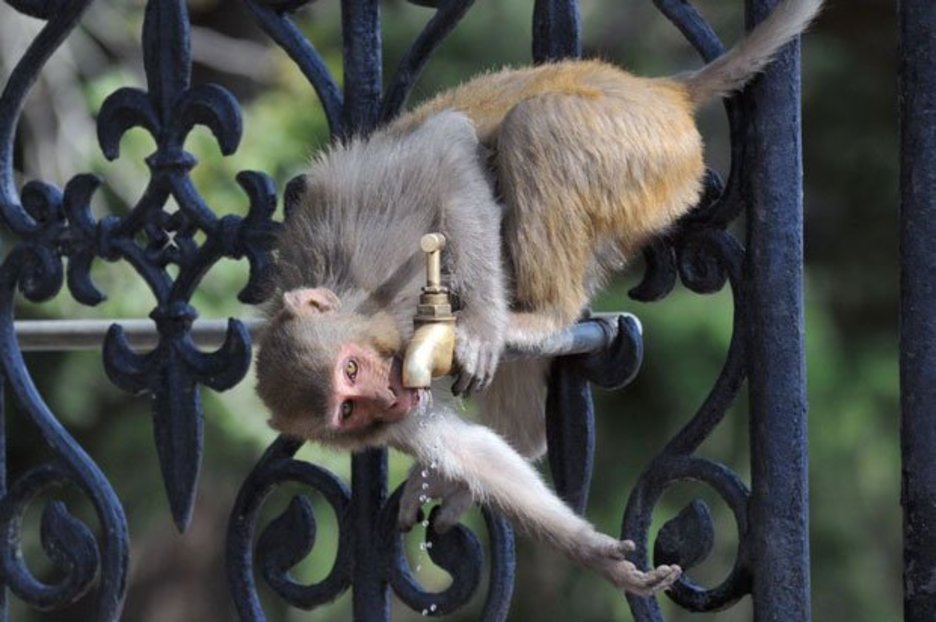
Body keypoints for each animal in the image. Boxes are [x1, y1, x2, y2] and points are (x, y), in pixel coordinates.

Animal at [254, 0, 822, 596]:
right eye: (348, 409)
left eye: (352, 370)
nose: (384, 399)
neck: (366, 306)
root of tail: (664, 92)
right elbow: (469, 451)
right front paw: (596, 555)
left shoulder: (376, 243)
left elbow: (450, 151)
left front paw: (482, 326)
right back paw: (516, 440)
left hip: (640, 149)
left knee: (537, 125)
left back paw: (541, 319)